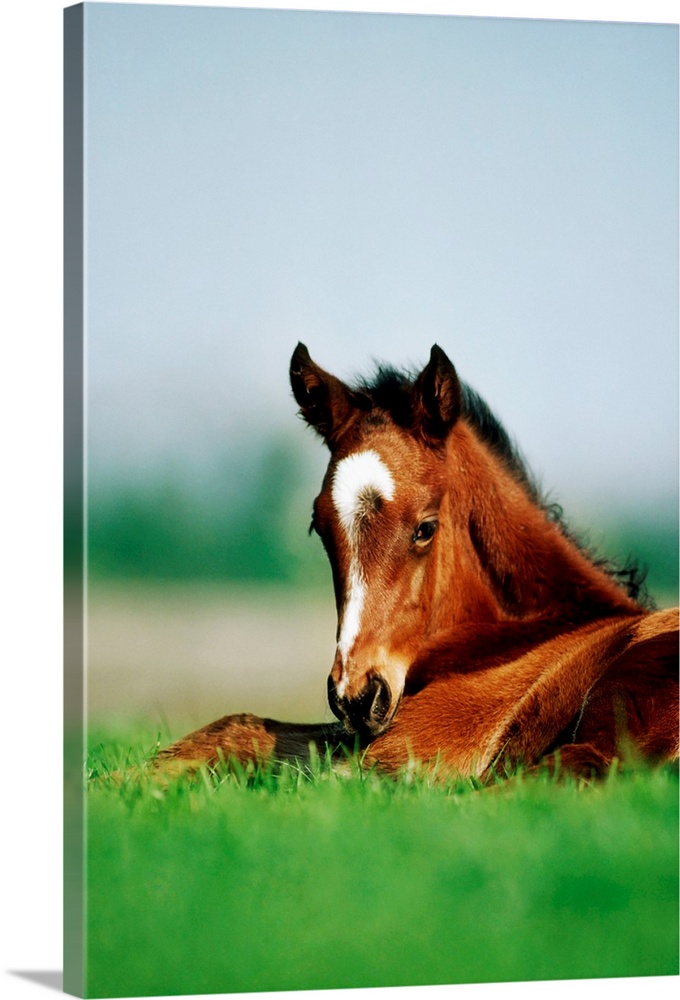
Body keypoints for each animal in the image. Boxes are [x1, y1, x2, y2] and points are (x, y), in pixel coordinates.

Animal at [158, 344, 679, 781]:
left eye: (425, 528)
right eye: (318, 527)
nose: (355, 697)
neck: (514, 637)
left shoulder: (405, 744)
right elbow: (237, 728)